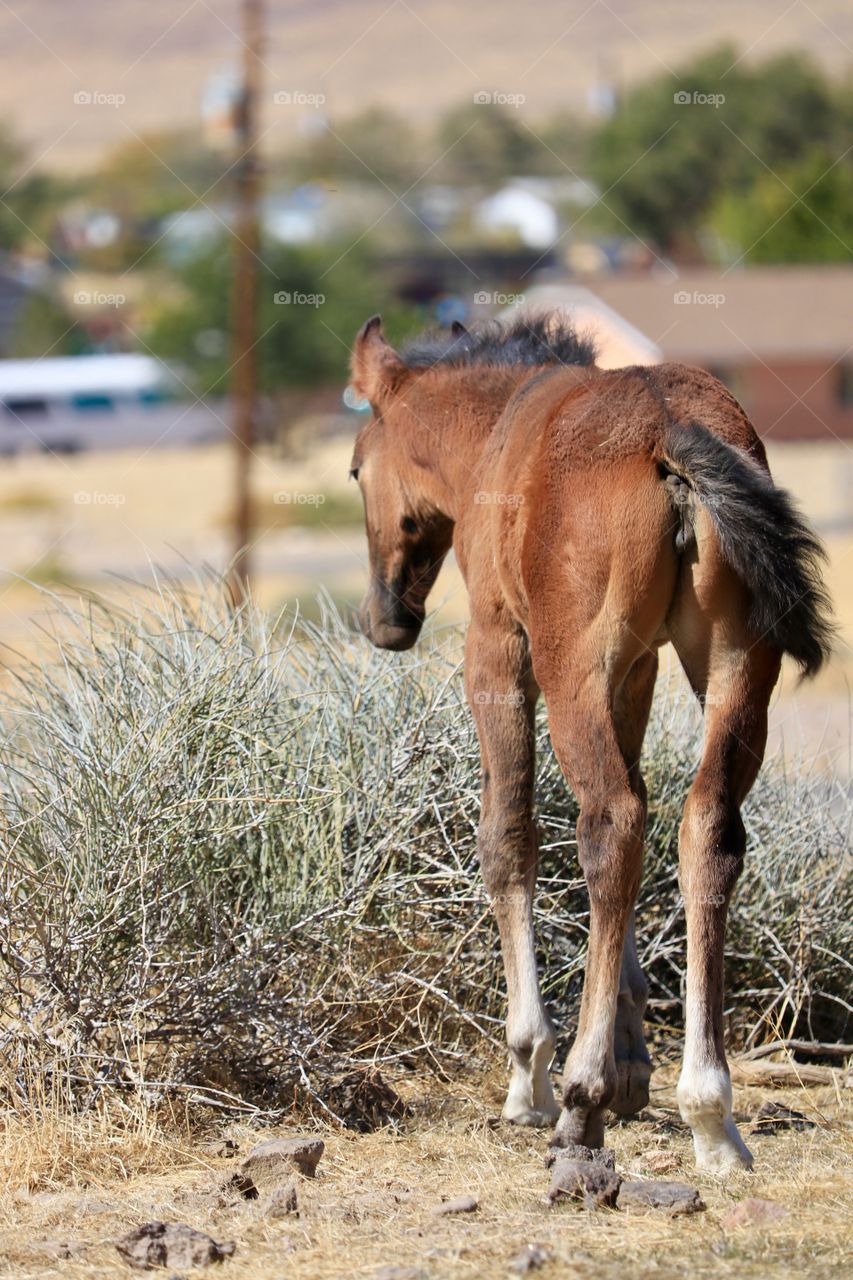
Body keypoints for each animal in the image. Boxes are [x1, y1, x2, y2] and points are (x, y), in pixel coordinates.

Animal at [345, 309, 829, 1172]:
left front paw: (530, 1073)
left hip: (572, 669)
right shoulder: (635, 671)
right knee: (701, 829)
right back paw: (708, 1112)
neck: (498, 431)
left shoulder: (499, 650)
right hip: (737, 668)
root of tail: (671, 433)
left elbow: (508, 838)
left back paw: (577, 1100)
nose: (385, 619)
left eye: (355, 470)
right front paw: (633, 1063)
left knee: (609, 823)